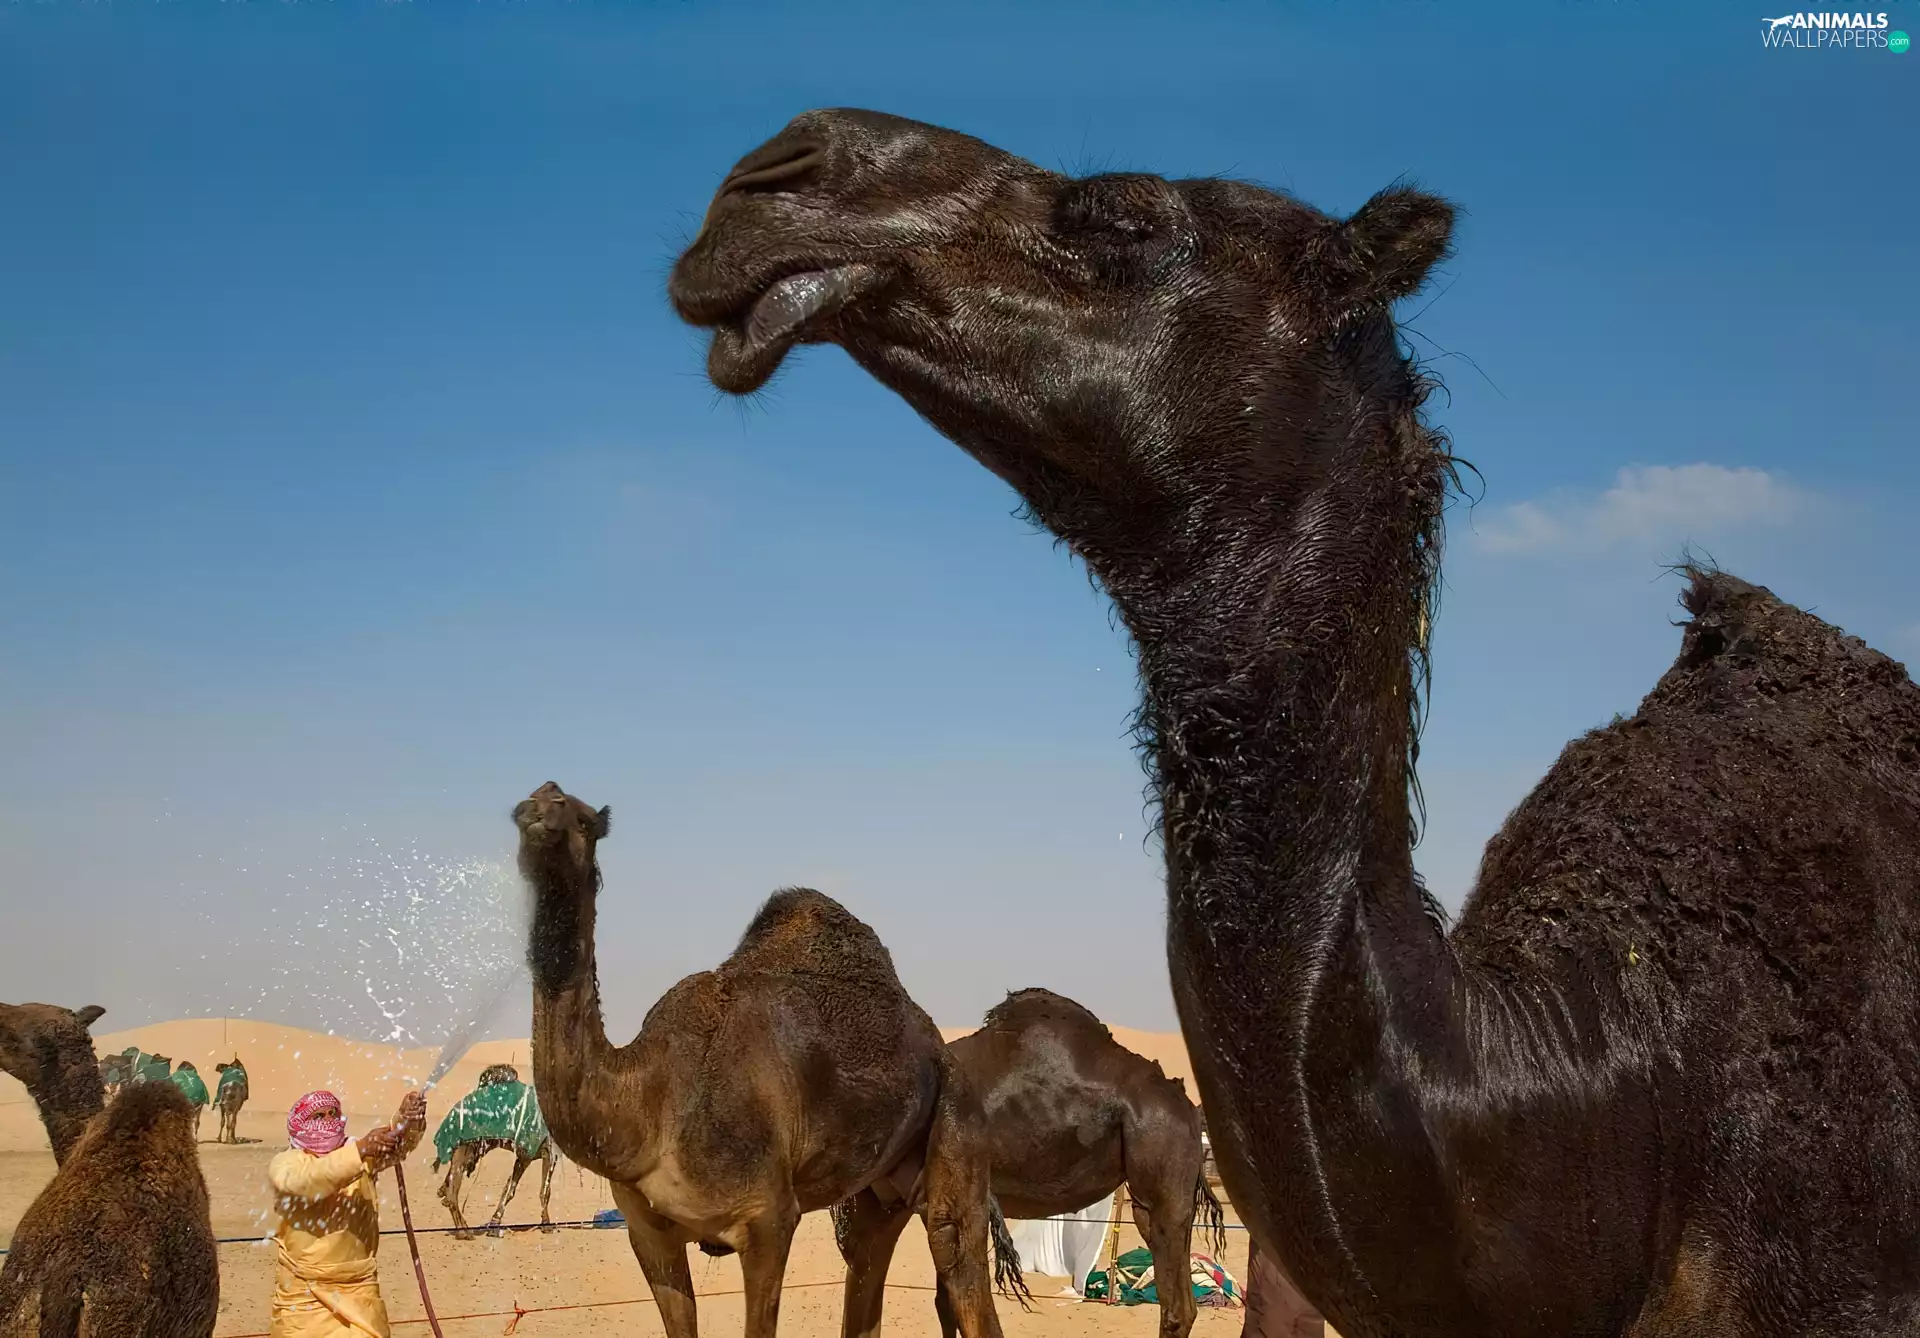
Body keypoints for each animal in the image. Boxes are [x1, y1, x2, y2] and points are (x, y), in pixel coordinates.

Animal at [431, 1063, 558, 1238]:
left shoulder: (537, 1155)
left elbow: (523, 1189)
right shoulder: (534, 1154)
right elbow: (532, 1191)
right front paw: (547, 1226)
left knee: (450, 1184)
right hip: (465, 1150)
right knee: (453, 1191)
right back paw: (464, 1232)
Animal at [513, 780, 1023, 1338]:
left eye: (584, 819)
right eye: (532, 799)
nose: (539, 808)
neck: (649, 1104)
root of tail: (942, 1052)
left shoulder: (765, 1220)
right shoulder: (649, 1232)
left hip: (960, 1126)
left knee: (955, 1251)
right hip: (877, 1190)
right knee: (867, 1258)